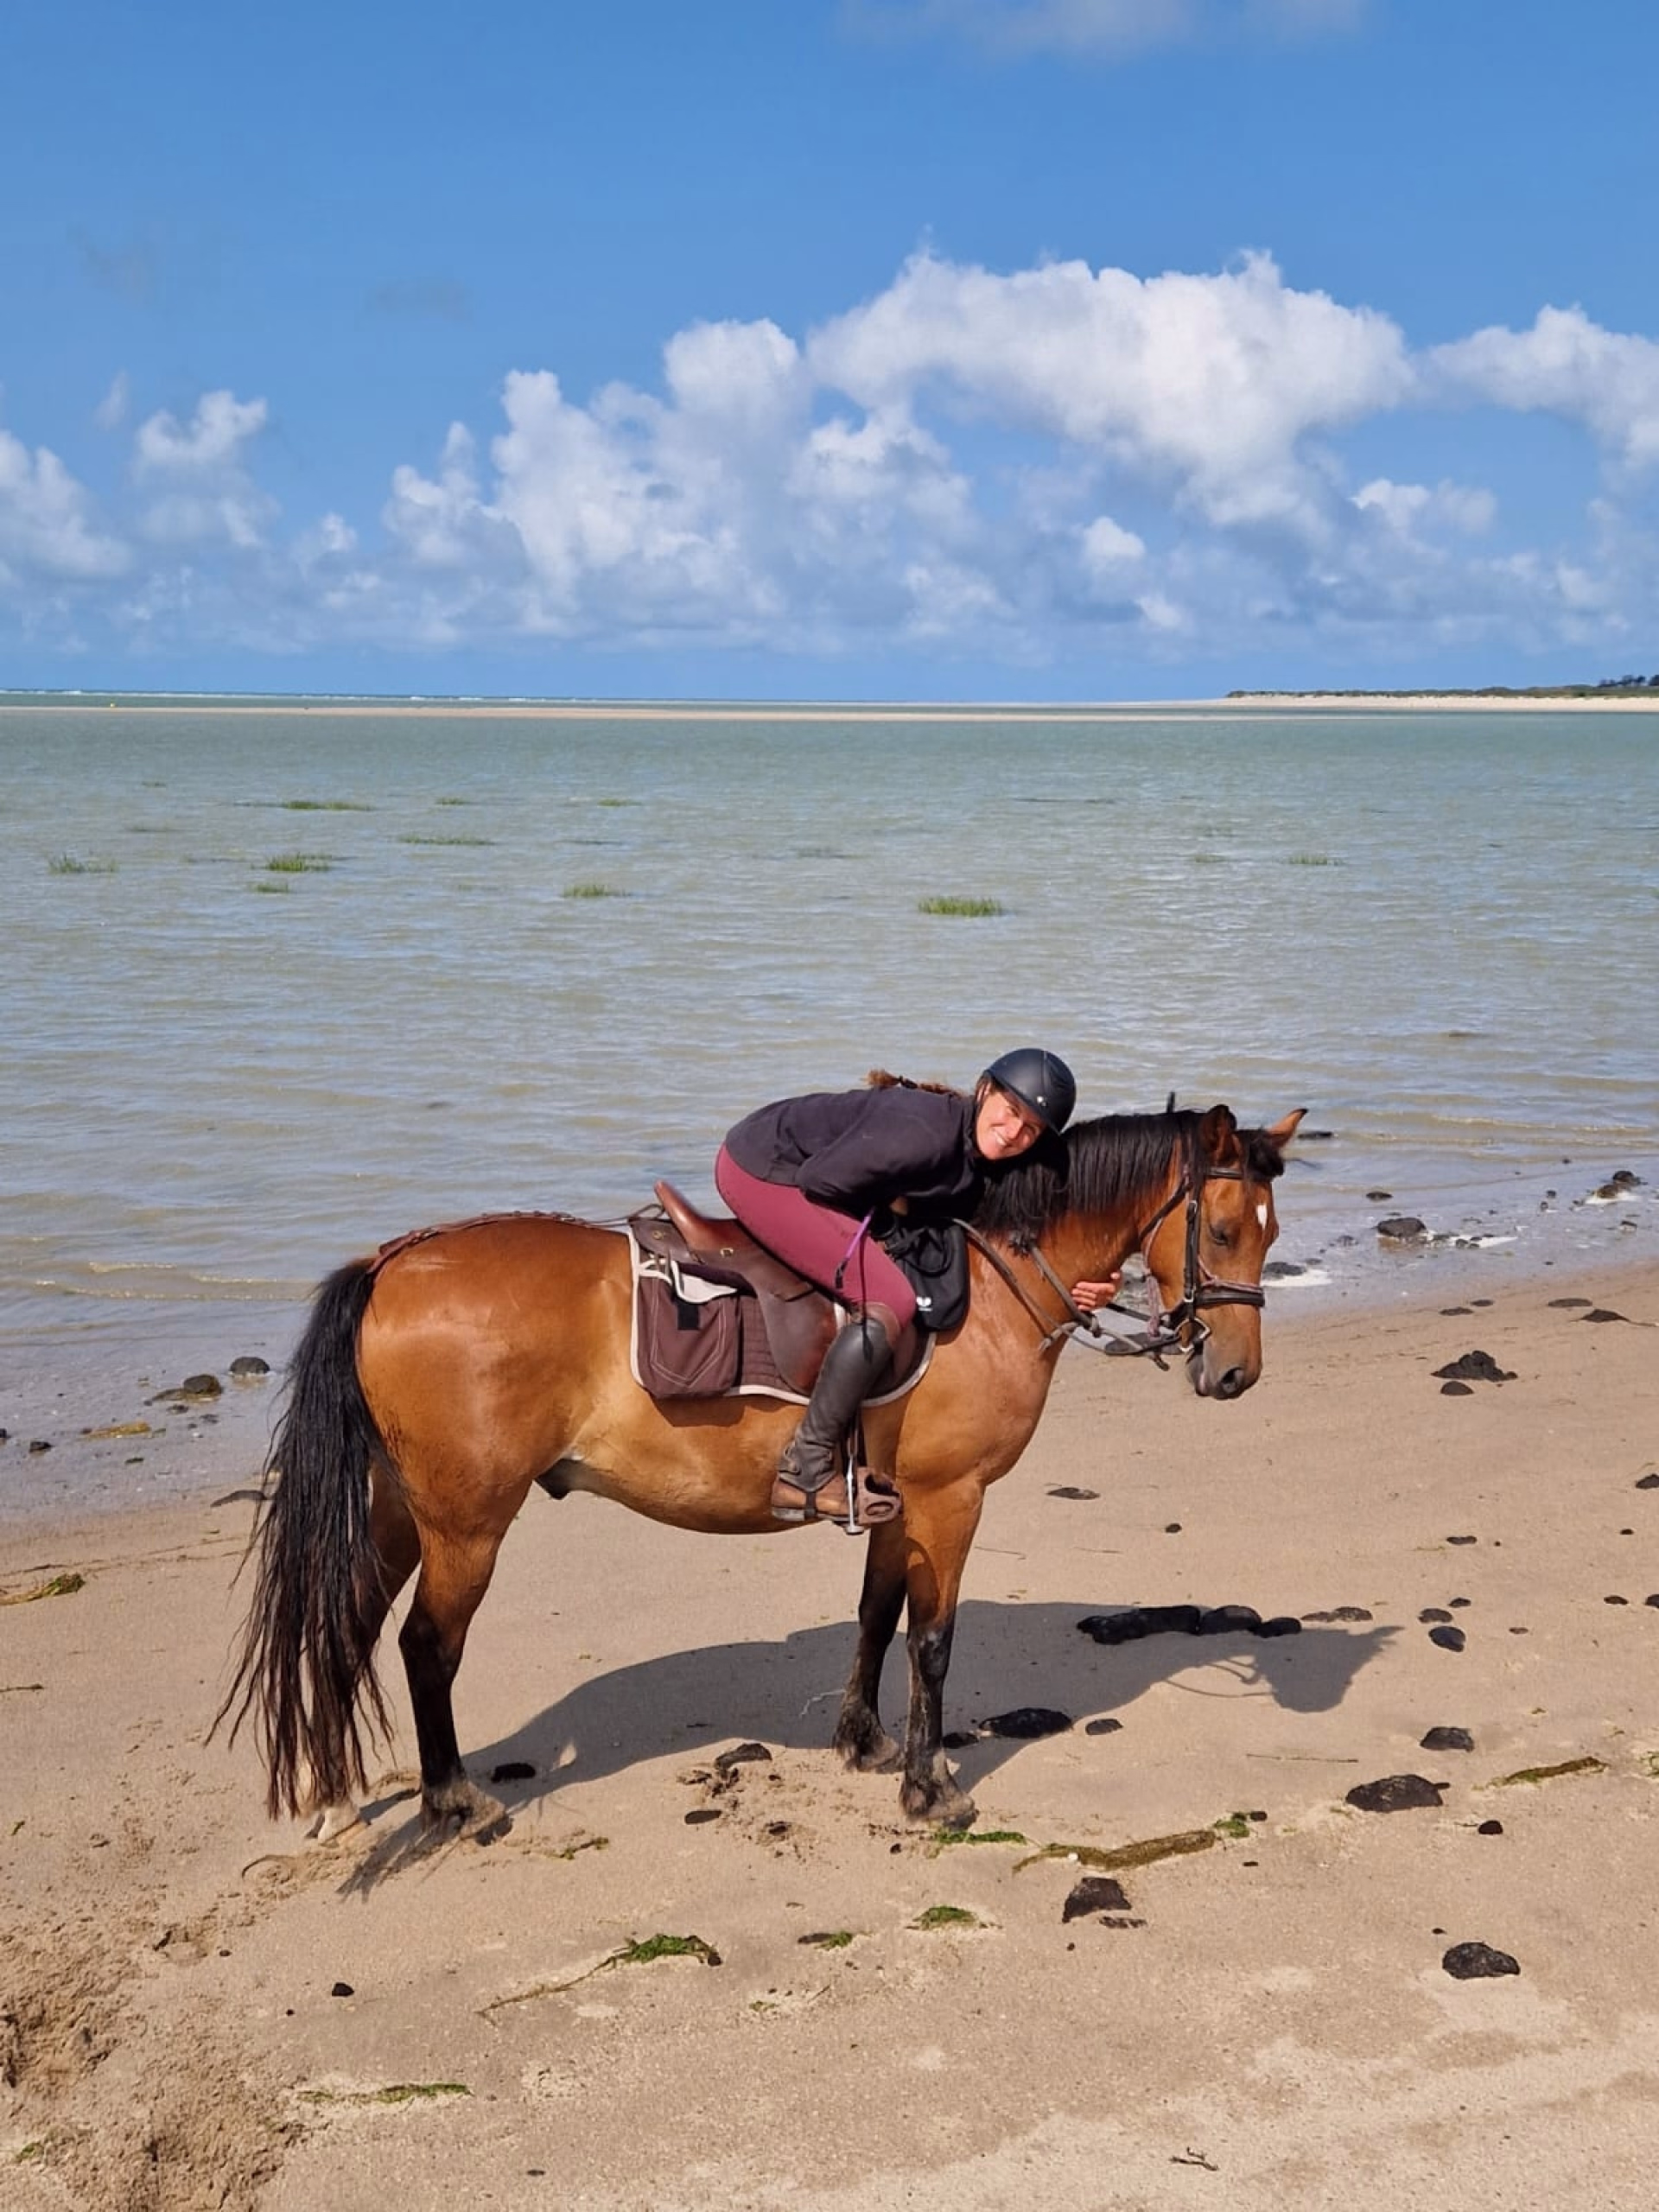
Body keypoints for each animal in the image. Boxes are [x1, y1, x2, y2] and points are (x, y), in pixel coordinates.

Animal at [217, 1101, 1304, 1840]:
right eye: (1221, 1228)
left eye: (1273, 1230)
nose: (1237, 1373)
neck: (993, 1279)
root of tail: (394, 1260)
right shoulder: (949, 1500)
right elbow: (933, 1641)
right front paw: (929, 1787)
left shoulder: (897, 1502)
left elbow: (875, 1615)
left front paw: (866, 1742)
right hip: (466, 1523)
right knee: (424, 1644)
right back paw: (451, 1796)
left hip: (403, 1510)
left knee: (352, 1625)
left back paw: (339, 1791)